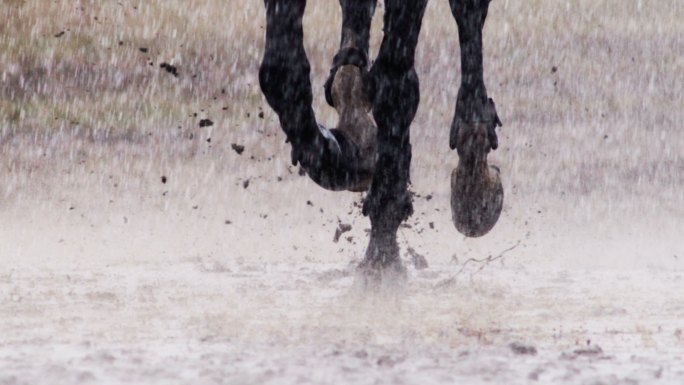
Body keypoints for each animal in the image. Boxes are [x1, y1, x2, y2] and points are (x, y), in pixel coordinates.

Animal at [256, 0, 502, 282]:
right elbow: (282, 72)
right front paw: (341, 153)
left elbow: (393, 84)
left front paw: (382, 255)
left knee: (468, 15)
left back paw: (474, 175)